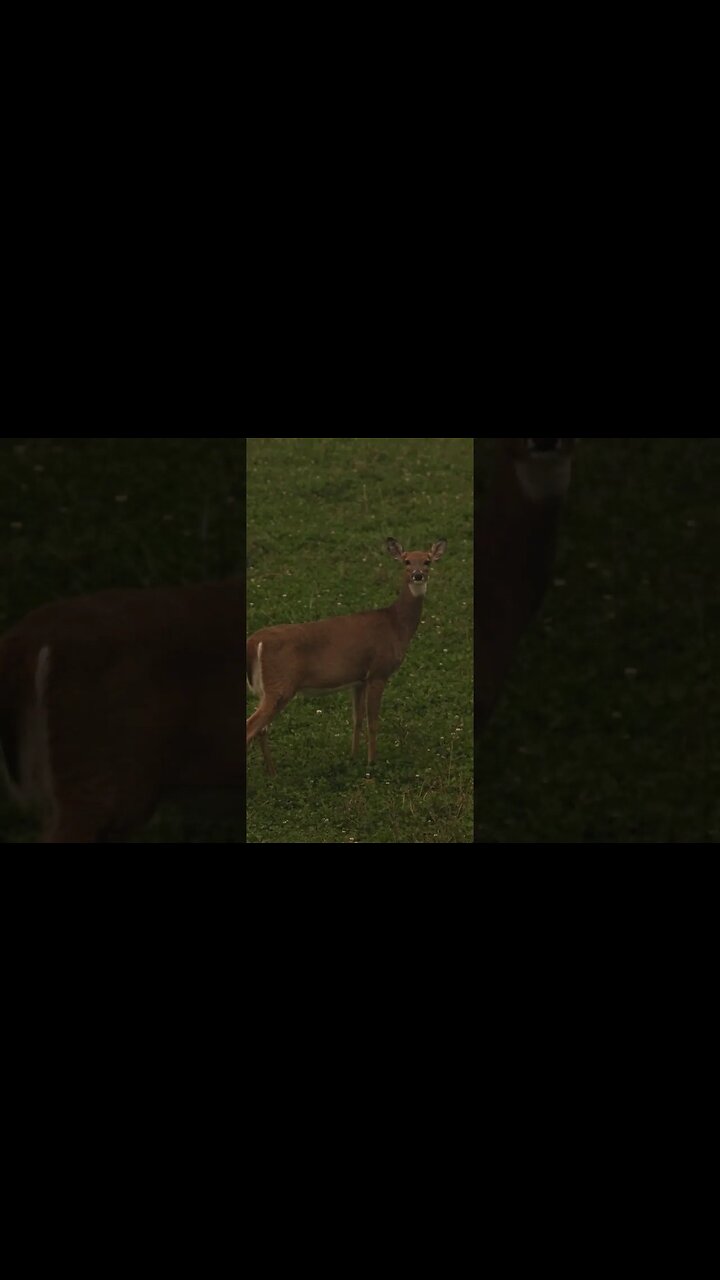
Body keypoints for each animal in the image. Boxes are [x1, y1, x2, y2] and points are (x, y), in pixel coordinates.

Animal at [246, 538, 447, 776]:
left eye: (427, 561)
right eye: (406, 561)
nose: (417, 575)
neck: (396, 626)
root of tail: (254, 642)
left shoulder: (358, 679)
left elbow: (357, 719)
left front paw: (353, 757)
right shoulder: (379, 671)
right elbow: (373, 721)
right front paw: (371, 764)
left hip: (267, 690)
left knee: (262, 728)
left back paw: (273, 772)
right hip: (280, 684)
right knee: (252, 726)